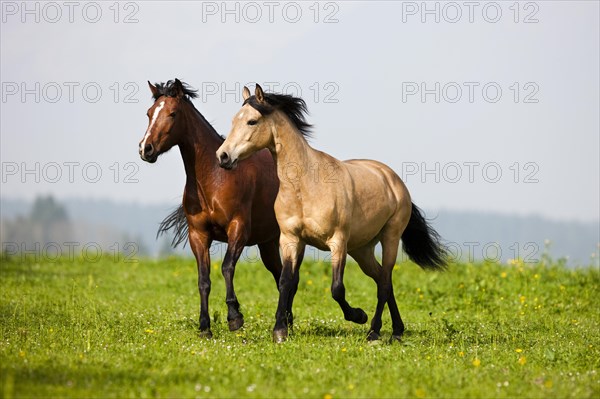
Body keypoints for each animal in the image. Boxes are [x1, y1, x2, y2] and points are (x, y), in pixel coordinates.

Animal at [139, 79, 284, 340]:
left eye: (172, 113)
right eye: (149, 113)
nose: (146, 149)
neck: (214, 177)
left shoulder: (238, 229)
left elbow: (227, 267)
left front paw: (235, 316)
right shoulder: (198, 235)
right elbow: (203, 280)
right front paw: (205, 326)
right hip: (268, 244)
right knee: (279, 277)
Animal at [216, 85, 446, 344]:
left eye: (252, 121)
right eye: (234, 120)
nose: (223, 156)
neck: (305, 185)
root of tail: (393, 179)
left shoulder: (337, 242)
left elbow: (337, 288)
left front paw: (358, 315)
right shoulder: (290, 239)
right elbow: (285, 282)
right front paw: (280, 330)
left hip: (390, 238)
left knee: (385, 283)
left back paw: (374, 330)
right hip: (362, 249)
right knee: (381, 279)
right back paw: (397, 329)